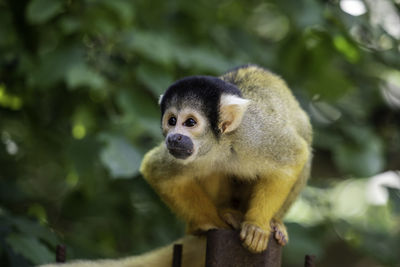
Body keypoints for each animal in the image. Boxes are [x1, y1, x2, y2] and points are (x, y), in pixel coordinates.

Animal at [141, 64, 312, 253]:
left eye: (190, 122)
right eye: (172, 121)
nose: (173, 138)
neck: (222, 145)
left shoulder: (255, 136)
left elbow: (295, 155)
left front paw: (256, 226)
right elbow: (157, 172)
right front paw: (214, 222)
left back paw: (275, 222)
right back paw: (223, 214)